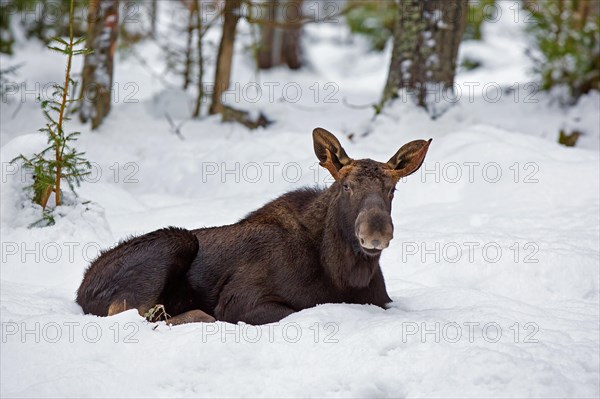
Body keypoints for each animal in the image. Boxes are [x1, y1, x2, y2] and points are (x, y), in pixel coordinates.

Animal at [76, 130, 432, 326]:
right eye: (346, 186)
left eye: (392, 190)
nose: (376, 233)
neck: (344, 274)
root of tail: (81, 290)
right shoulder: (241, 301)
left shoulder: (383, 300)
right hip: (174, 241)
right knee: (131, 312)